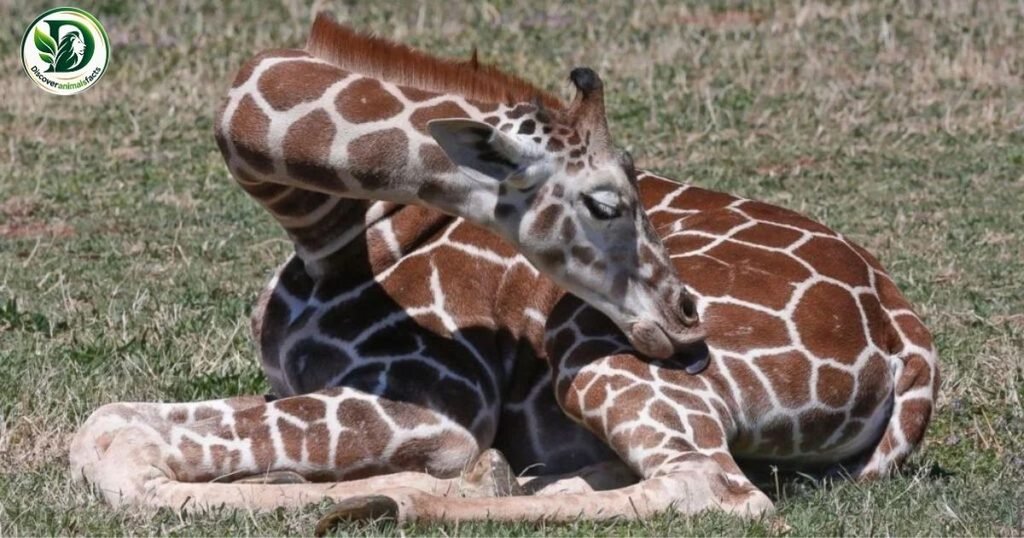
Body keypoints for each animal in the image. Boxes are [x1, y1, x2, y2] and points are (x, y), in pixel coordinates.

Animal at [69, 14, 939, 524]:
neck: (328, 227)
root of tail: (910, 342)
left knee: (715, 490)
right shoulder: (303, 384)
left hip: (589, 345)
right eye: (607, 201)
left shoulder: (432, 406)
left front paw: (413, 483)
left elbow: (115, 443)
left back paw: (420, 497)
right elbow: (110, 425)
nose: (687, 319)